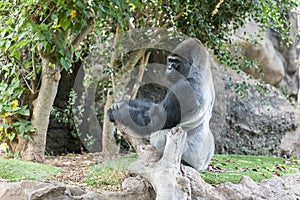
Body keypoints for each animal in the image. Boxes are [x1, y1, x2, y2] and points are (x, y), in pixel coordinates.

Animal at [108, 38, 216, 170]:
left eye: (176, 62)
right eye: (170, 60)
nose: (169, 67)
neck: (198, 71)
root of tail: (201, 166)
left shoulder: (183, 87)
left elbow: (157, 120)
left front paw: (119, 111)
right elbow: (154, 108)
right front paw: (123, 103)